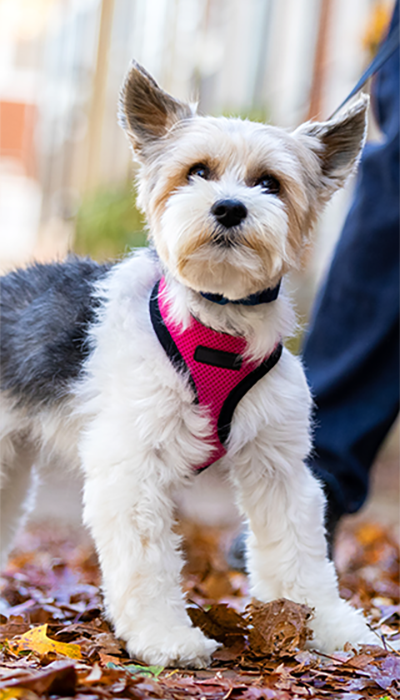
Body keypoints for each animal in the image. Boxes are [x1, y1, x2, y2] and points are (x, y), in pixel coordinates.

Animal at [0, 61, 376, 668]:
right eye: (198, 172)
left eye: (269, 183)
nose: (229, 207)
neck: (217, 322)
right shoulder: (131, 469)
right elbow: (147, 566)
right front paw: (166, 638)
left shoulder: (280, 470)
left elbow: (301, 555)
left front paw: (335, 626)